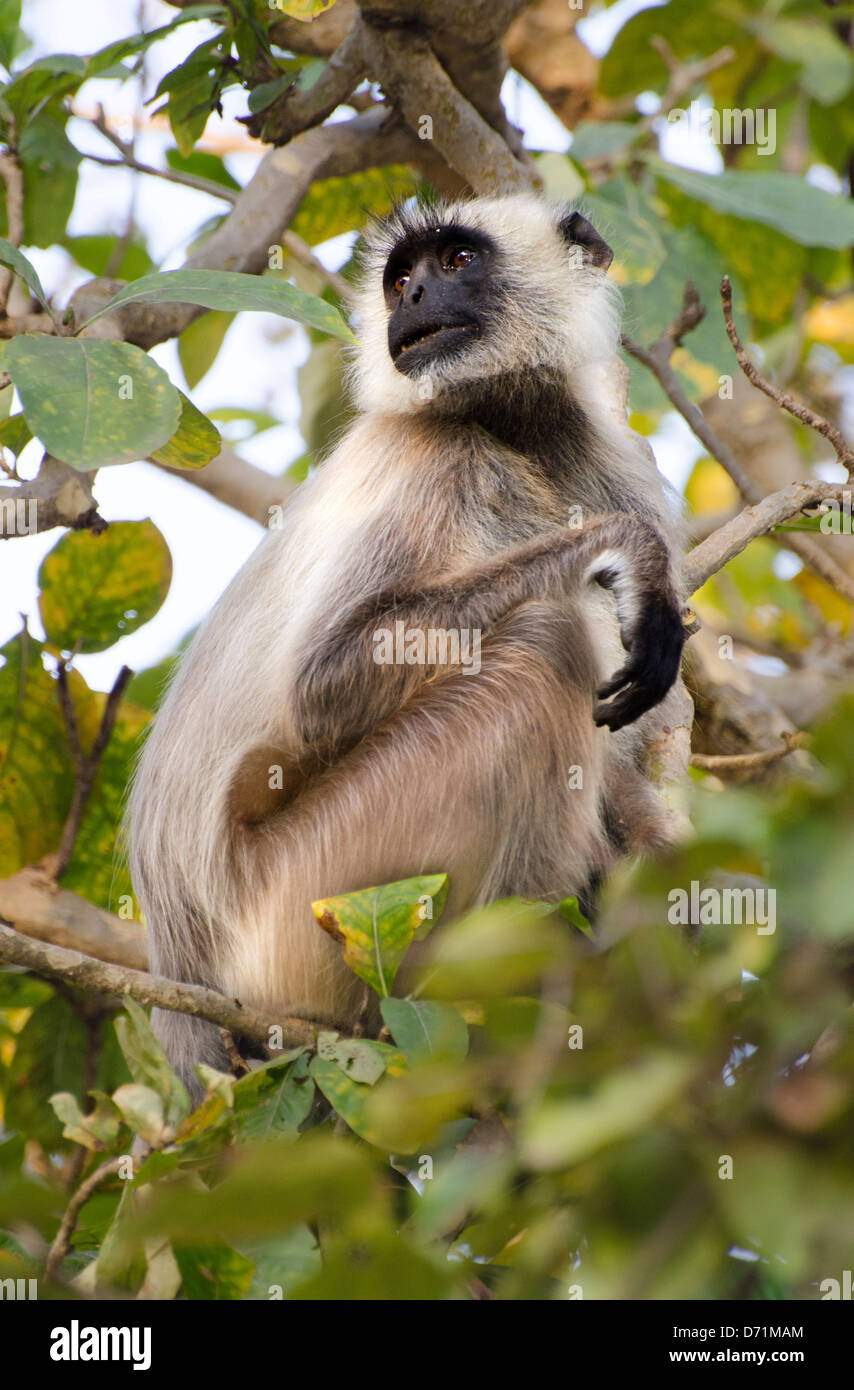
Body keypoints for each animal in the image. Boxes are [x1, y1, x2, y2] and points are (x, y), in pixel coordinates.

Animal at [127, 195, 689, 1089]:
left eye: (456, 261)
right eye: (400, 279)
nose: (415, 297)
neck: (509, 427)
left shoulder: (615, 462)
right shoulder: (427, 454)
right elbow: (319, 688)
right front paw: (622, 554)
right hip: (310, 901)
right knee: (544, 641)